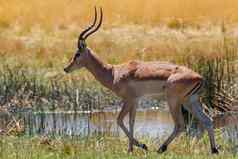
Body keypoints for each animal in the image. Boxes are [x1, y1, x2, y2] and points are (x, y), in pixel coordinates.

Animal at [63, 7, 219, 154]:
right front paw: (132, 148)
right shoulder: (136, 101)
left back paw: (161, 148)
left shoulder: (129, 99)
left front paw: (141, 146)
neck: (114, 72)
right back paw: (214, 150)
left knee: (180, 125)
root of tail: (200, 77)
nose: (66, 68)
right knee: (207, 120)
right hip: (190, 101)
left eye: (77, 54)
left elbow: (119, 120)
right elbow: (132, 122)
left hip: (174, 101)